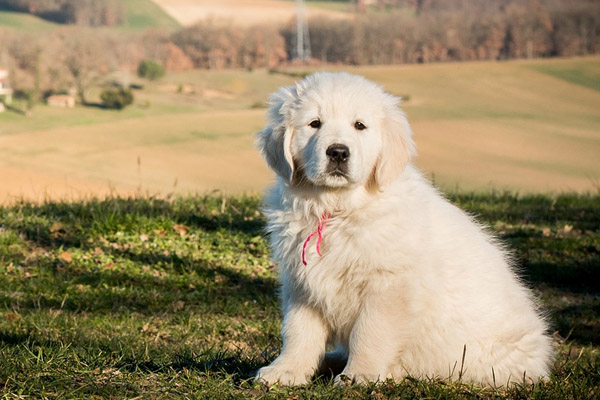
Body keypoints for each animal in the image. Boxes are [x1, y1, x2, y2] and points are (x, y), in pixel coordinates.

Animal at [254, 72, 552, 388]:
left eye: (360, 125)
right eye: (314, 123)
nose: (338, 152)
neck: (338, 210)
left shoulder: (388, 284)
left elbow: (369, 332)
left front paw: (360, 374)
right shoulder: (302, 283)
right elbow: (298, 332)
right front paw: (286, 370)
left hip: (476, 357)